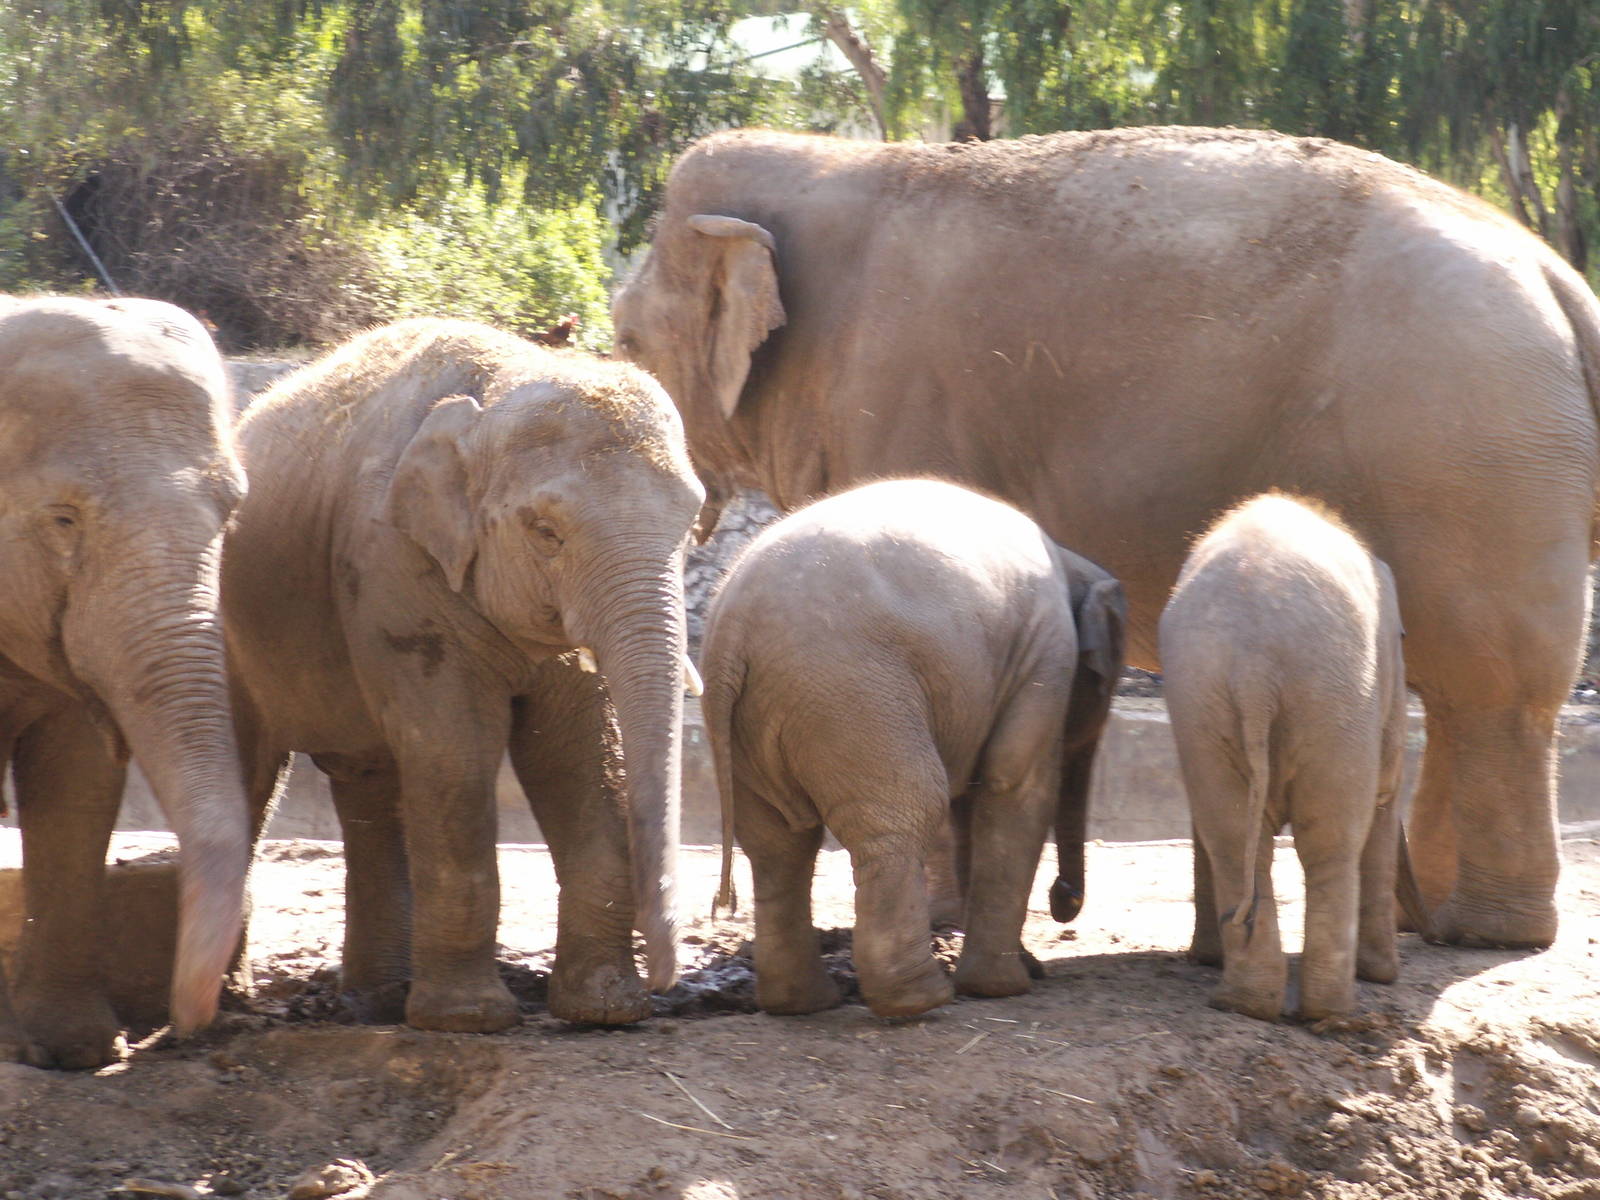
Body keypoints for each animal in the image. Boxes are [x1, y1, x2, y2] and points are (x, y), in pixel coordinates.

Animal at [222, 318, 704, 1032]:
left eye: (693, 523)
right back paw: (227, 1008)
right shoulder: (392, 563)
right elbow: (457, 748)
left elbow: (580, 751)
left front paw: (605, 1010)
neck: (503, 382)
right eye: (545, 531)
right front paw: (471, 1019)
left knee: (371, 784)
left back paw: (374, 1003)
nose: (669, 984)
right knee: (248, 773)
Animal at [612, 125, 1600, 950]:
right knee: (1465, 697)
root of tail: (1556, 276)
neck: (827, 158)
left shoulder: (896, 400)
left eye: (624, 339)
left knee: (1494, 693)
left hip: (1470, 456)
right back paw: (1428, 920)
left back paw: (1484, 931)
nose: (710, 915)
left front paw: (938, 921)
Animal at [701, 479, 1125, 1018]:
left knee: (778, 844)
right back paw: (920, 999)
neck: (1071, 561)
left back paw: (803, 1002)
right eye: (1101, 680)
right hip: (855, 695)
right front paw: (1005, 986)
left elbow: (973, 799)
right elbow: (1012, 783)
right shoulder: (1047, 650)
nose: (1063, 901)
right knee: (904, 812)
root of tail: (730, 629)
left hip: (756, 726)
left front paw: (1019, 970)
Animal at [1161, 493, 1411, 1021]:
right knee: (1333, 843)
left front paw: (1207, 958)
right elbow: (1383, 798)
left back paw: (1243, 1001)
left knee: (1232, 835)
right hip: (1336, 697)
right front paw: (1383, 976)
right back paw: (1332, 1012)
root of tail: (1254, 661)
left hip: (1203, 696)